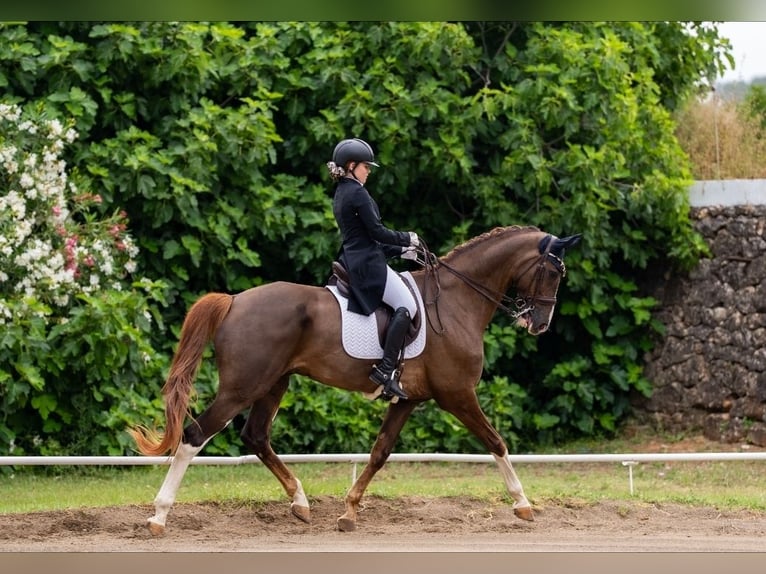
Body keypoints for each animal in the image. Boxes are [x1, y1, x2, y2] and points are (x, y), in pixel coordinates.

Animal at [130, 225, 581, 535]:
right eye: (554, 272)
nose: (539, 324)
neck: (456, 302)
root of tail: (234, 301)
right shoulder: (457, 394)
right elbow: (496, 442)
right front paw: (523, 504)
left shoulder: (408, 399)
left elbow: (380, 452)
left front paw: (348, 511)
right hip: (243, 386)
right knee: (195, 434)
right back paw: (159, 515)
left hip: (274, 383)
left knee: (256, 436)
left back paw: (301, 502)